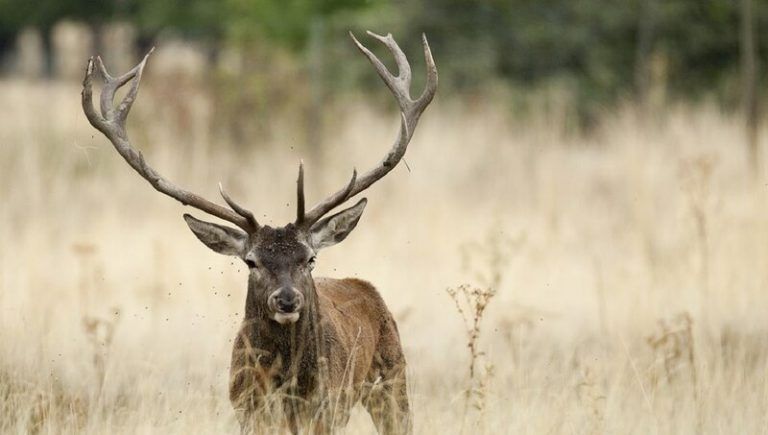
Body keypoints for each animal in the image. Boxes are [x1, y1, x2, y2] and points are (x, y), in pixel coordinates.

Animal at [81, 31, 436, 434]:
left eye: (309, 259)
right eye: (251, 261)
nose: (287, 300)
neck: (288, 388)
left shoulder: (326, 409)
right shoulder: (248, 409)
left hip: (392, 376)